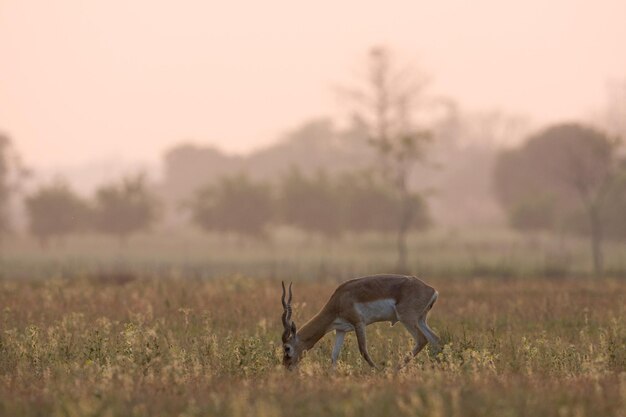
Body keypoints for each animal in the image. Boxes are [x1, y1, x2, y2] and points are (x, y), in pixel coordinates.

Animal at [280, 274, 438, 368]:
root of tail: (432, 290)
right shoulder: (340, 330)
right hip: (420, 320)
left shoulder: (359, 323)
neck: (339, 299)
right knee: (435, 339)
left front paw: (378, 370)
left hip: (407, 319)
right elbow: (334, 355)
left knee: (422, 339)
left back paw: (394, 369)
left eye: (287, 348)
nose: (286, 367)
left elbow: (363, 351)